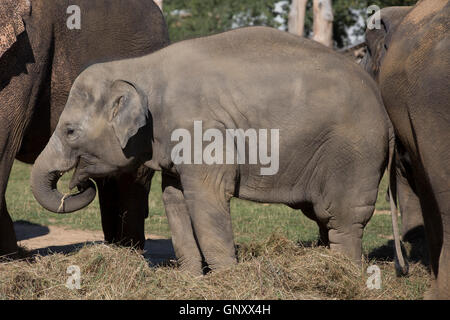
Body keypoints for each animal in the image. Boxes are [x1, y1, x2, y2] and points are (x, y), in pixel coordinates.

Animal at [31, 26, 396, 276]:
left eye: (70, 131)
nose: (78, 184)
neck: (139, 68)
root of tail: (384, 110)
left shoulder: (201, 130)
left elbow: (207, 198)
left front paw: (225, 279)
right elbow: (175, 200)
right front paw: (191, 278)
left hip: (355, 154)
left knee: (343, 218)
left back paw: (344, 271)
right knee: (323, 216)